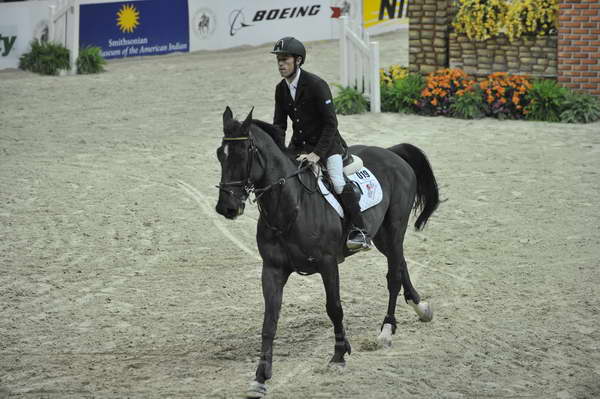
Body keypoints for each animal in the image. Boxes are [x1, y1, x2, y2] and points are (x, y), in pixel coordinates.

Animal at [216, 107, 440, 399]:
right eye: (220, 154)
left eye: (244, 153)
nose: (227, 208)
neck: (291, 205)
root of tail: (392, 153)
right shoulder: (272, 269)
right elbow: (269, 322)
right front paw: (260, 378)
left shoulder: (327, 263)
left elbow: (334, 308)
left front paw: (339, 356)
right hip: (381, 236)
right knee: (401, 266)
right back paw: (421, 308)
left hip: (394, 230)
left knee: (393, 275)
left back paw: (387, 331)